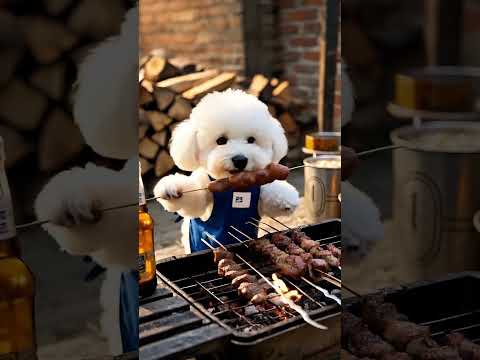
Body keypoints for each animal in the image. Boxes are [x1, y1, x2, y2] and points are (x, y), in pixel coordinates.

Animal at [156, 89, 300, 253]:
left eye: (251, 140)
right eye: (221, 141)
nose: (240, 160)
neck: (233, 187)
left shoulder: (260, 187)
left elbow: (271, 196)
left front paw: (287, 198)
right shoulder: (203, 193)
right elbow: (194, 199)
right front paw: (171, 188)